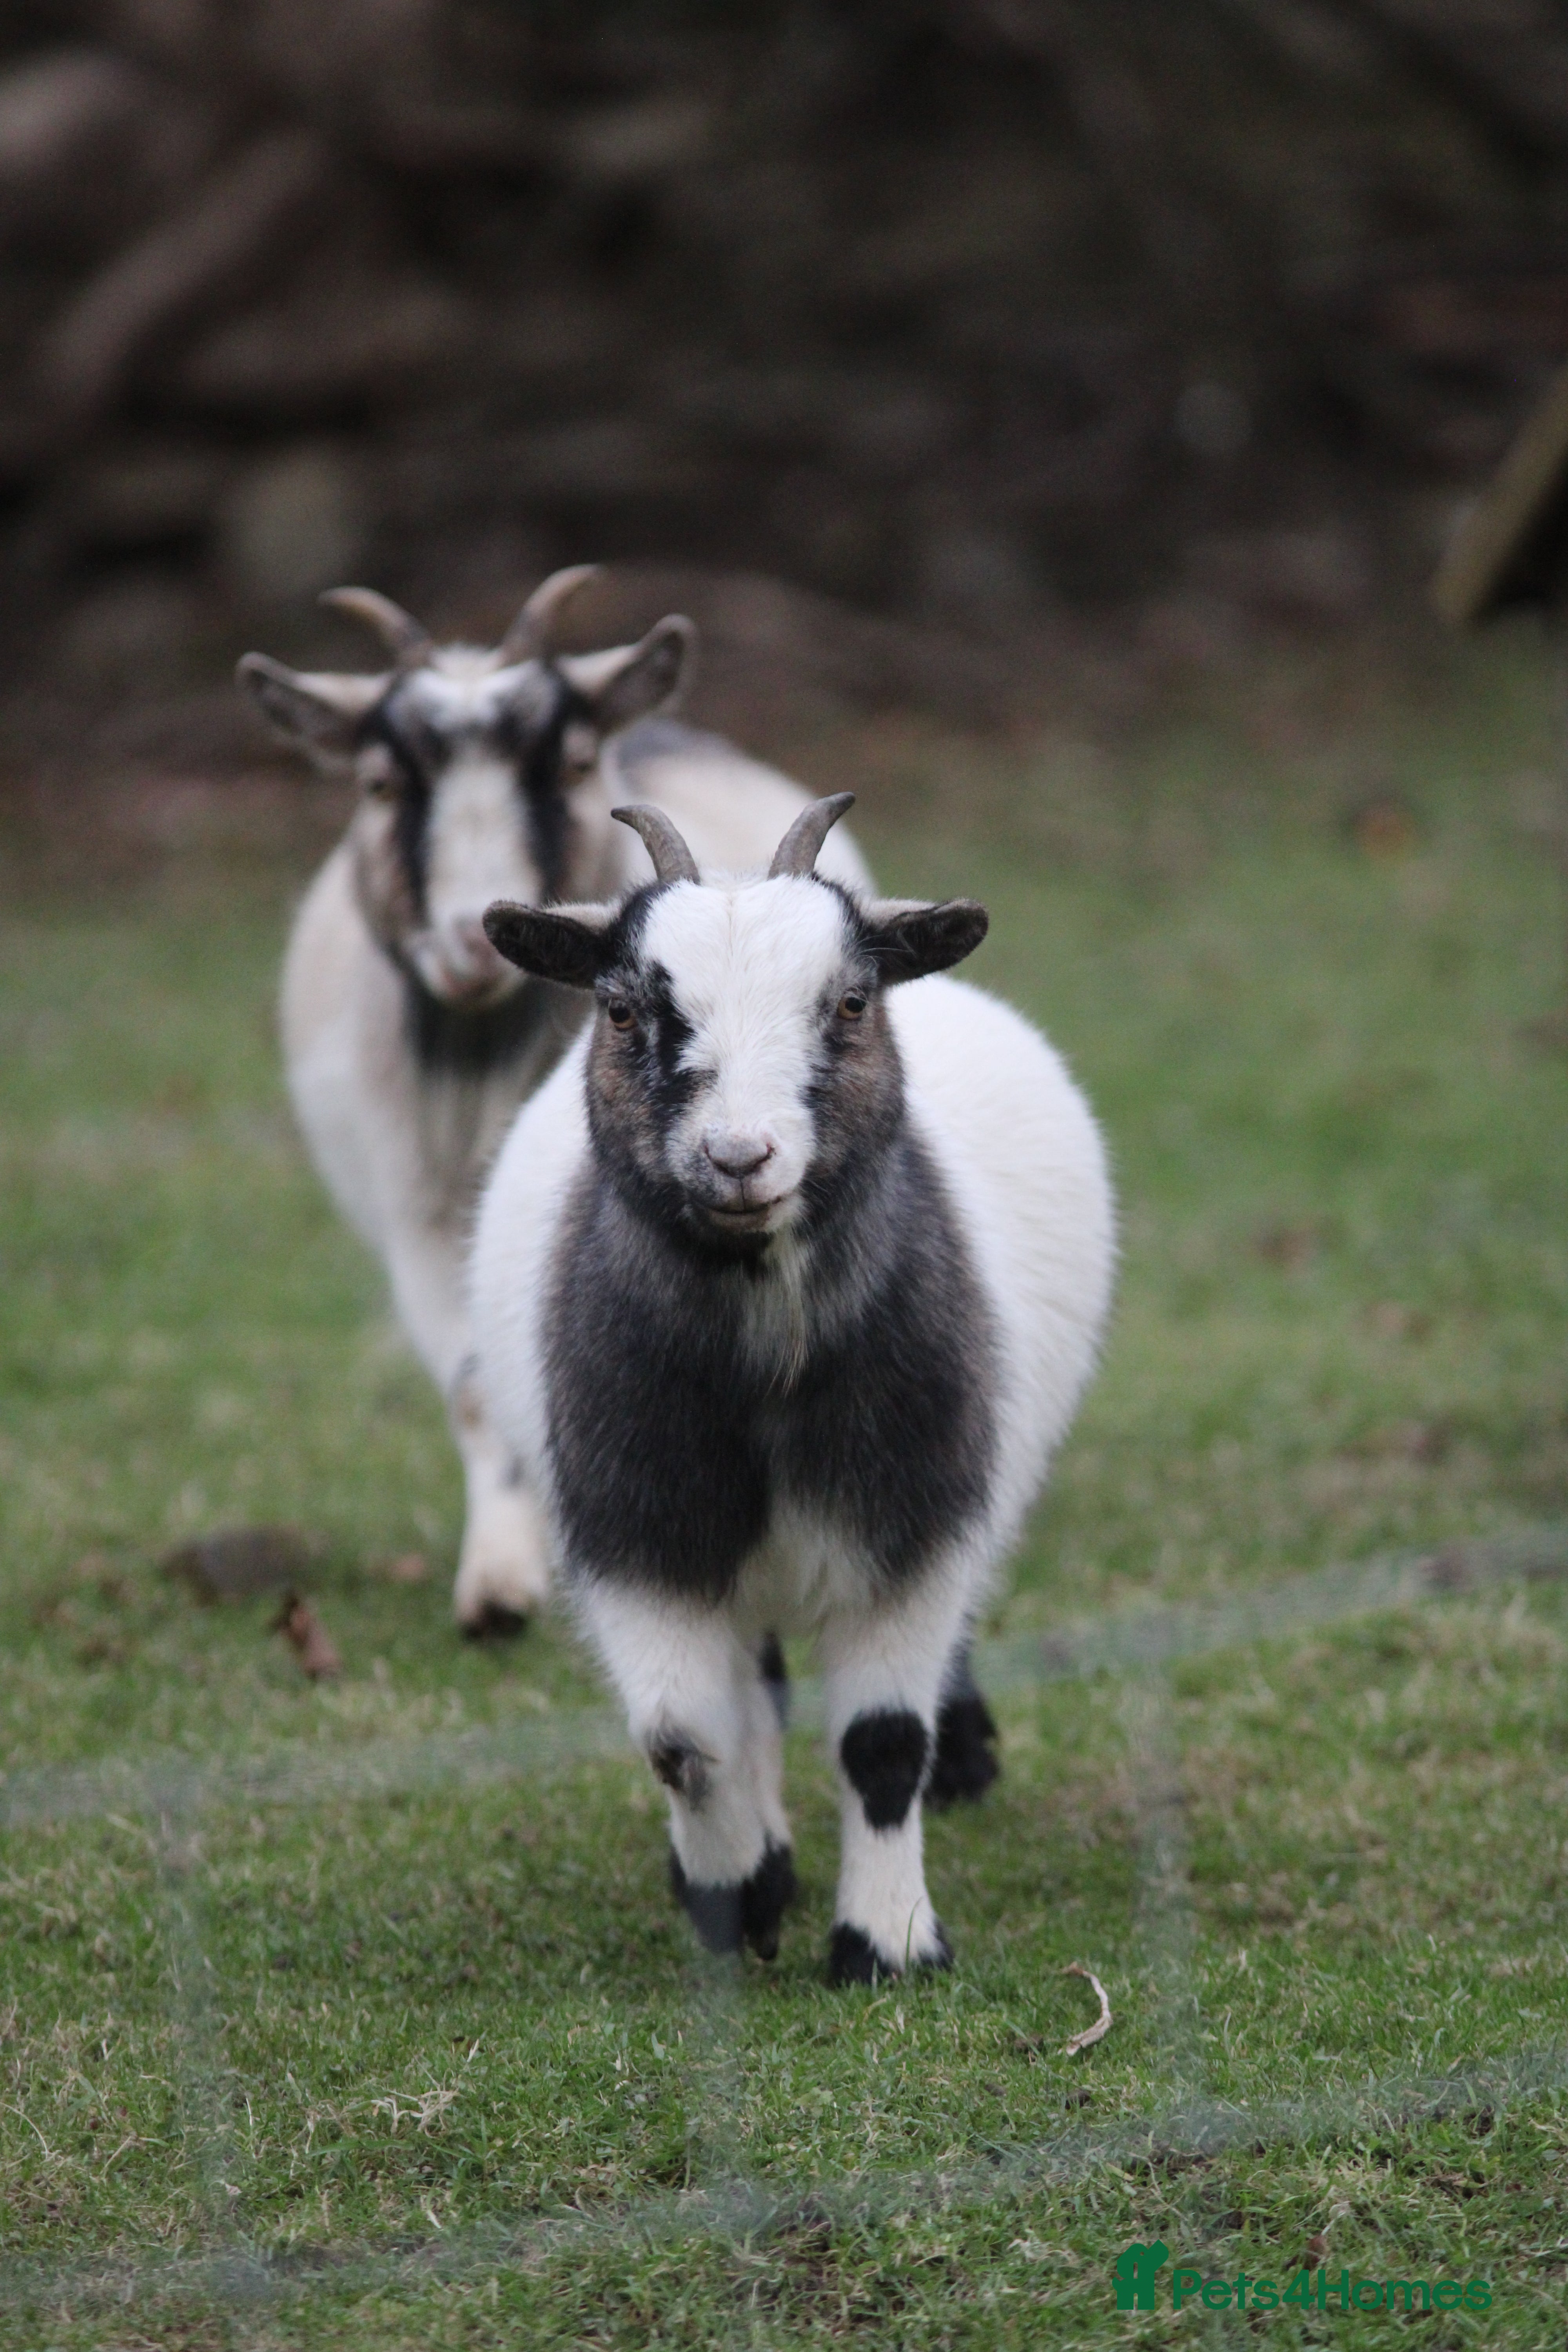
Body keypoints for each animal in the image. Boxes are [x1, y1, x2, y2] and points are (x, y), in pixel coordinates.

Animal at [237, 569, 873, 1633]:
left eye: (572, 766)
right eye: (379, 785)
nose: (471, 937)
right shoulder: (423, 1217)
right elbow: (478, 1388)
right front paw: (499, 1587)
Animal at [468, 796, 1115, 1979]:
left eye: (850, 1003)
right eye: (622, 1010)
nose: (738, 1158)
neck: (763, 1359)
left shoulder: (915, 1524)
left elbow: (882, 1744)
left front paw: (888, 1944)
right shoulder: (640, 1533)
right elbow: (686, 1741)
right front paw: (739, 1894)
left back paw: (966, 1762)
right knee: (750, 1698)